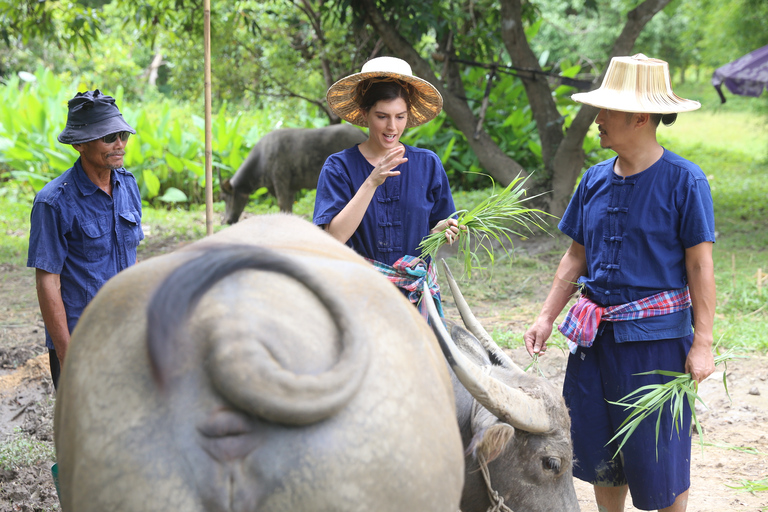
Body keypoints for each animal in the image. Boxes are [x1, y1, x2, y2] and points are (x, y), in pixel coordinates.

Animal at [220, 125, 368, 223]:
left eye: (226, 198)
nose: (225, 221)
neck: (262, 159)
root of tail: (362, 133)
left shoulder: (280, 181)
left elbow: (282, 204)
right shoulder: (288, 189)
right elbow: (288, 207)